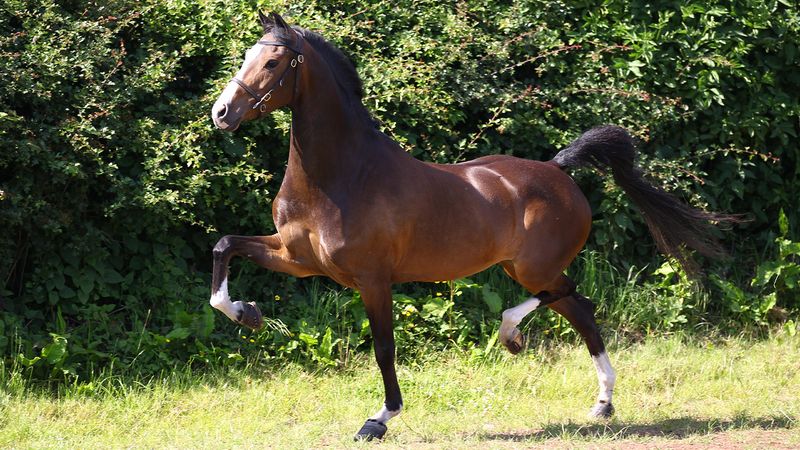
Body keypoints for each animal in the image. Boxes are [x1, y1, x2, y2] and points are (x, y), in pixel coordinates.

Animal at [209, 12, 736, 442]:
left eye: (273, 63)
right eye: (248, 55)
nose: (221, 114)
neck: (339, 176)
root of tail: (560, 170)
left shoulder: (372, 279)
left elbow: (383, 348)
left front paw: (378, 420)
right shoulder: (298, 259)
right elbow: (224, 247)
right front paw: (247, 313)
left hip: (533, 269)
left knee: (568, 296)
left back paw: (512, 336)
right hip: (524, 268)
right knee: (580, 309)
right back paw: (602, 404)